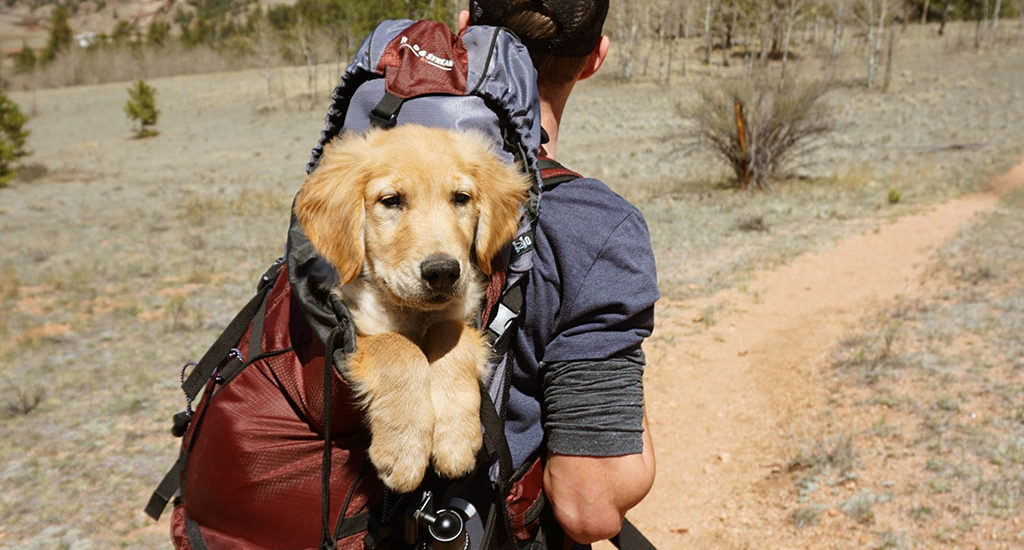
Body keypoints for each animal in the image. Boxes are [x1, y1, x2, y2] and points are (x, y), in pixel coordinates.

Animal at [294, 125, 532, 493]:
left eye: (460, 198)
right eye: (392, 200)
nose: (443, 271)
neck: (414, 313)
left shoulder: (462, 315)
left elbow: (450, 337)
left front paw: (455, 439)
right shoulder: (354, 327)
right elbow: (399, 347)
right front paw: (404, 450)